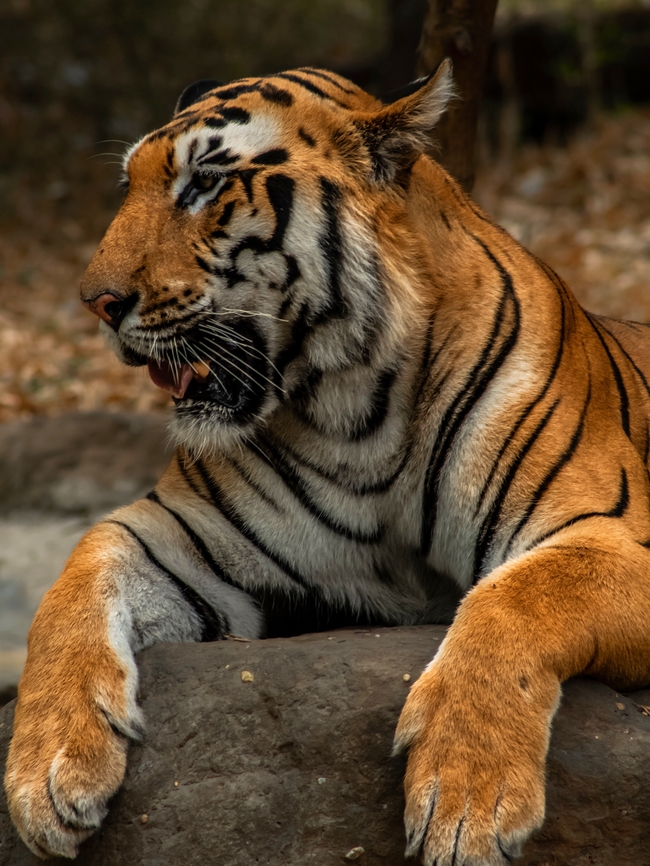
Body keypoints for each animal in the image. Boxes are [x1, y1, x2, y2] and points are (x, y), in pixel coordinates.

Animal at [5, 59, 650, 865]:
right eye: (131, 186)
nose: (96, 302)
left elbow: (512, 600)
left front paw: (467, 799)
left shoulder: (609, 534)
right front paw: (45, 770)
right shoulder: (177, 536)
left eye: (203, 185)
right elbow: (69, 589)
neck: (356, 413)